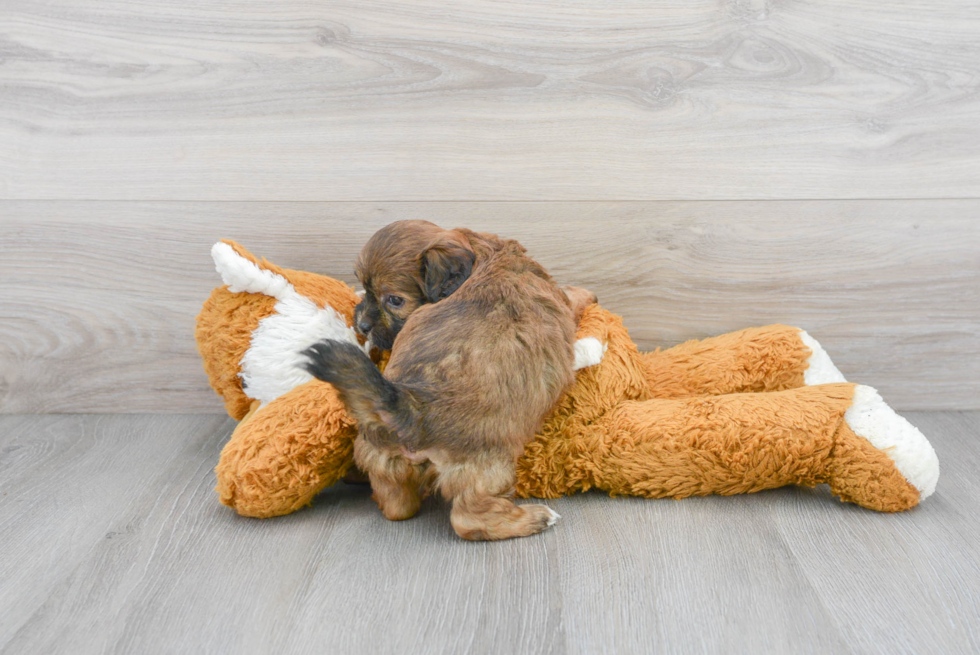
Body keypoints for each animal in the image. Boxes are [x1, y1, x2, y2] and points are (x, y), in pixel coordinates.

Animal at [298, 223, 592, 540]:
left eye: (394, 300)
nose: (361, 326)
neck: (486, 253)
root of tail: (409, 407)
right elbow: (572, 297)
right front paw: (588, 294)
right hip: (488, 466)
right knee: (468, 517)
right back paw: (535, 519)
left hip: (380, 457)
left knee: (397, 506)